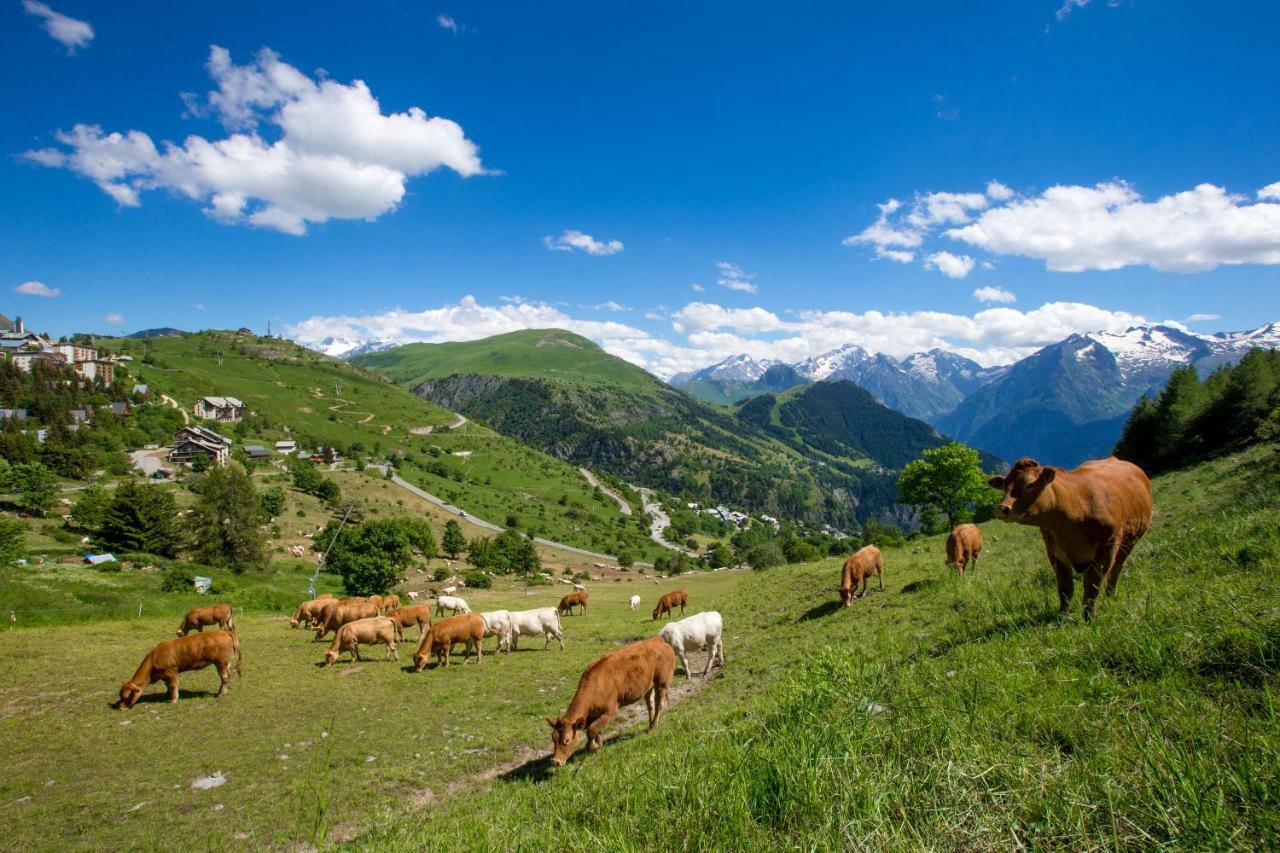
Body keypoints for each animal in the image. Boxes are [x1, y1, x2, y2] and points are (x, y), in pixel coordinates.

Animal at [545, 630, 675, 763]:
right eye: (553, 739)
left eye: (566, 740)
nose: (555, 761)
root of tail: (657, 639)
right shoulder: (595, 714)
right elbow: (597, 730)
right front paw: (599, 745)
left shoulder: (611, 710)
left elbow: (591, 730)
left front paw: (593, 747)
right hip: (648, 686)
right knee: (650, 705)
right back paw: (650, 725)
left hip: (662, 682)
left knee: (659, 704)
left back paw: (654, 725)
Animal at [983, 455, 1157, 614]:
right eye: (1004, 487)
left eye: (1030, 484)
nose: (1002, 508)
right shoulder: (1054, 551)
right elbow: (1065, 587)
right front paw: (1063, 616)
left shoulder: (1106, 548)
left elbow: (1092, 586)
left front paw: (1089, 617)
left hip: (1131, 540)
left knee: (1117, 567)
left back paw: (1110, 594)